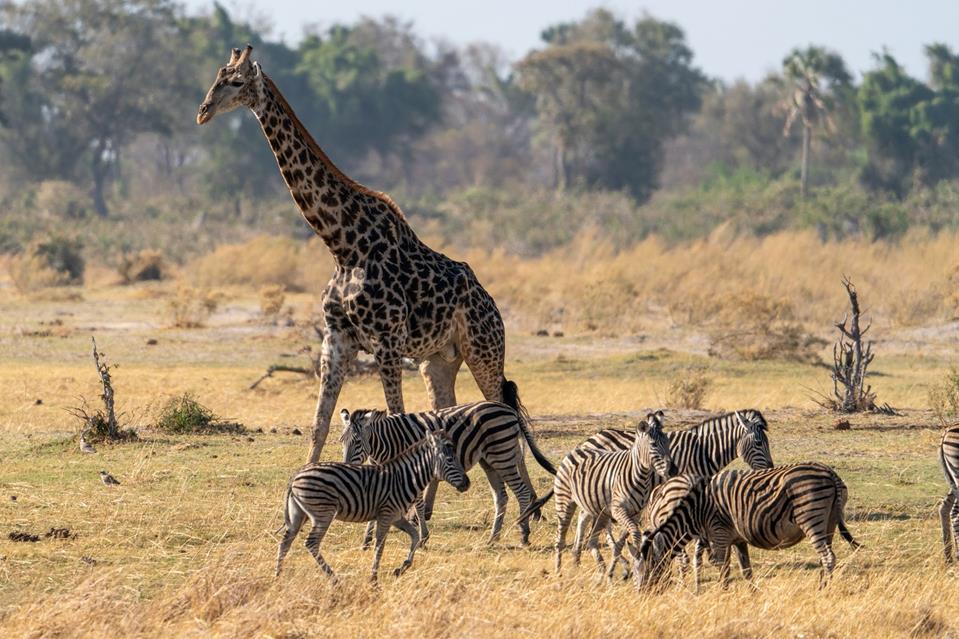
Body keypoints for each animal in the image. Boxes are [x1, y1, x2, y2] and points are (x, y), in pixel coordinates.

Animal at [196, 46, 515, 471]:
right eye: (216, 77)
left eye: (235, 81)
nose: (203, 111)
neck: (343, 245)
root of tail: (491, 304)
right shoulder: (336, 340)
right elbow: (319, 425)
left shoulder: (387, 341)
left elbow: (396, 419)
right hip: (439, 359)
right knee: (447, 409)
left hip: (484, 350)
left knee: (502, 412)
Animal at [275, 429, 470, 583]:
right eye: (450, 459)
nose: (467, 484)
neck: (404, 478)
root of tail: (296, 475)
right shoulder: (386, 515)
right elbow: (380, 547)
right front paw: (374, 578)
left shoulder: (396, 517)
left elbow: (414, 537)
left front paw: (402, 568)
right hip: (323, 513)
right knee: (311, 543)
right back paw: (334, 578)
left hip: (298, 514)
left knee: (286, 541)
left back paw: (278, 576)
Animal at [341, 396, 557, 546]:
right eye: (342, 441)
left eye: (357, 442)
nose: (345, 464)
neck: (387, 441)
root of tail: (509, 409)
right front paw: (367, 539)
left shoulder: (412, 468)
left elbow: (418, 503)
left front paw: (423, 537)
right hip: (489, 460)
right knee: (501, 497)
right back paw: (493, 537)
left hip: (502, 455)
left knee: (522, 492)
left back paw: (524, 533)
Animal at [520, 412, 674, 576]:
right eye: (653, 445)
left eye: (668, 443)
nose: (673, 470)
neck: (639, 475)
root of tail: (577, 449)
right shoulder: (618, 509)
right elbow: (635, 532)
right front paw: (637, 557)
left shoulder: (635, 513)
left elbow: (621, 541)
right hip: (564, 502)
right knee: (560, 539)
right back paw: (559, 572)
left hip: (592, 504)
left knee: (586, 528)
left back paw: (579, 563)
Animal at [637, 462, 861, 591]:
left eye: (646, 568)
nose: (642, 596)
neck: (697, 509)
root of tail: (830, 473)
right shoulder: (735, 538)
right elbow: (745, 570)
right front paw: (751, 594)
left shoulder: (718, 533)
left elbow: (721, 565)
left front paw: (723, 594)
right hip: (829, 523)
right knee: (825, 557)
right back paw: (823, 585)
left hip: (811, 518)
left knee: (828, 557)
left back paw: (822, 591)